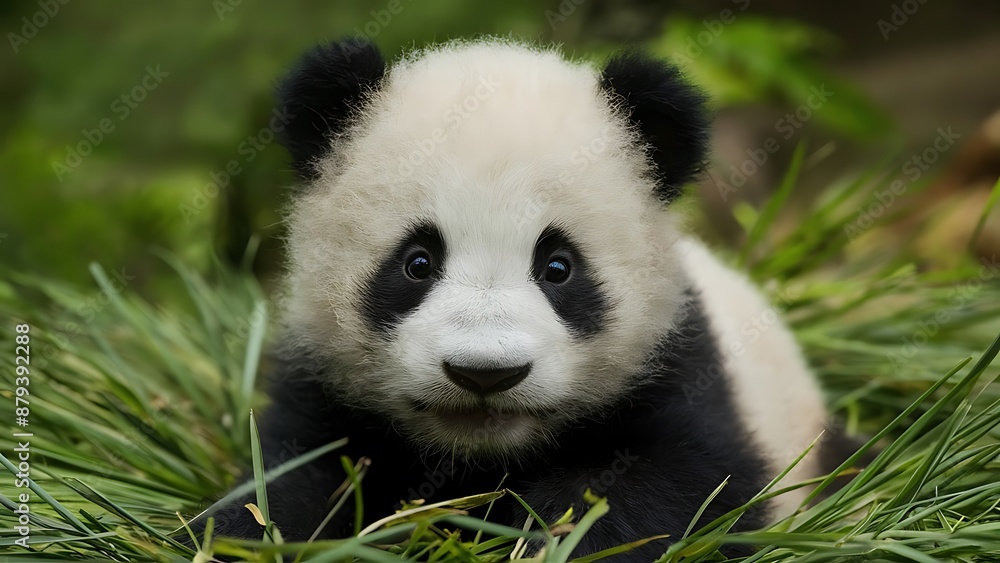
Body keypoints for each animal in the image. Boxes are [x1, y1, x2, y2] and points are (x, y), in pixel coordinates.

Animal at [192, 38, 846, 560]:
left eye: (558, 267)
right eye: (417, 263)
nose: (484, 374)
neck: (480, 458)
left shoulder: (681, 367)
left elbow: (690, 489)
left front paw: (554, 534)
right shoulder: (320, 383)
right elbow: (285, 482)